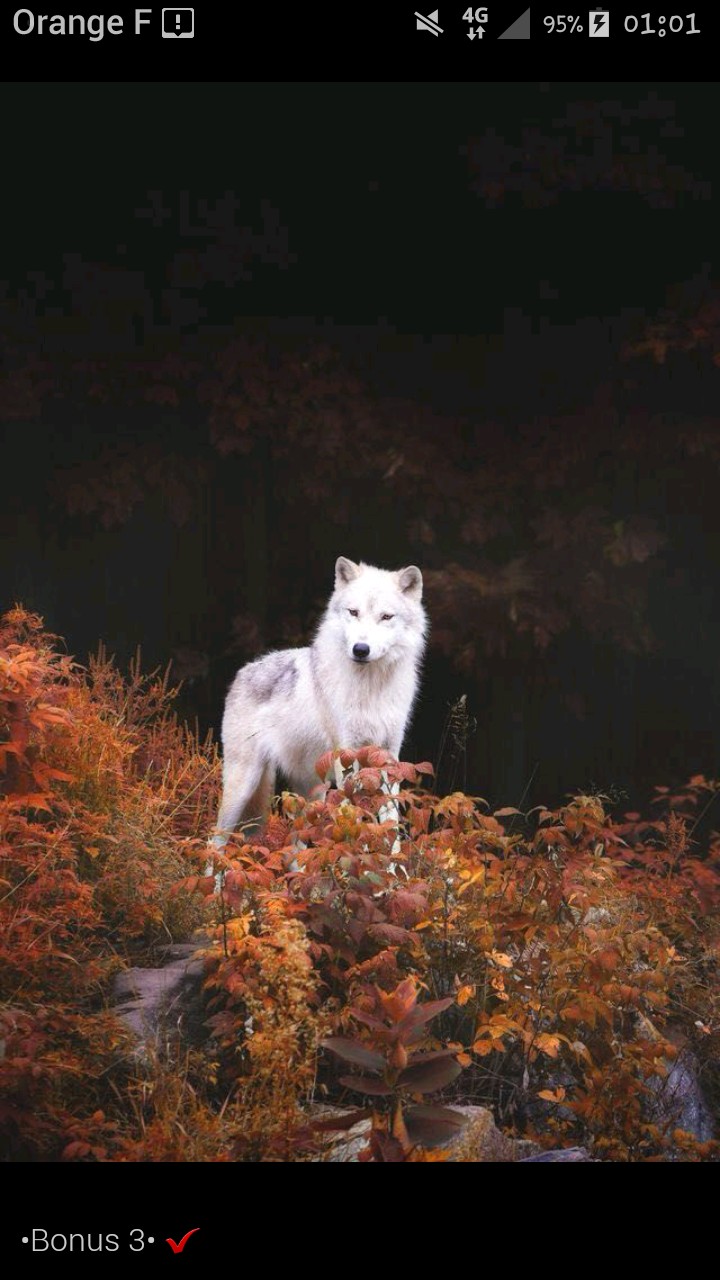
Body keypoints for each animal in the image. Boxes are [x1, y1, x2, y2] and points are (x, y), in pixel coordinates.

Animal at [209, 557, 427, 854]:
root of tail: (244, 670)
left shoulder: (389, 757)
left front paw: (392, 867)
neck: (370, 689)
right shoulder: (347, 756)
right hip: (243, 785)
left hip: (311, 793)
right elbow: (357, 815)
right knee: (215, 841)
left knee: (295, 849)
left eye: (386, 617)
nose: (360, 649)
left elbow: (389, 822)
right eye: (353, 612)